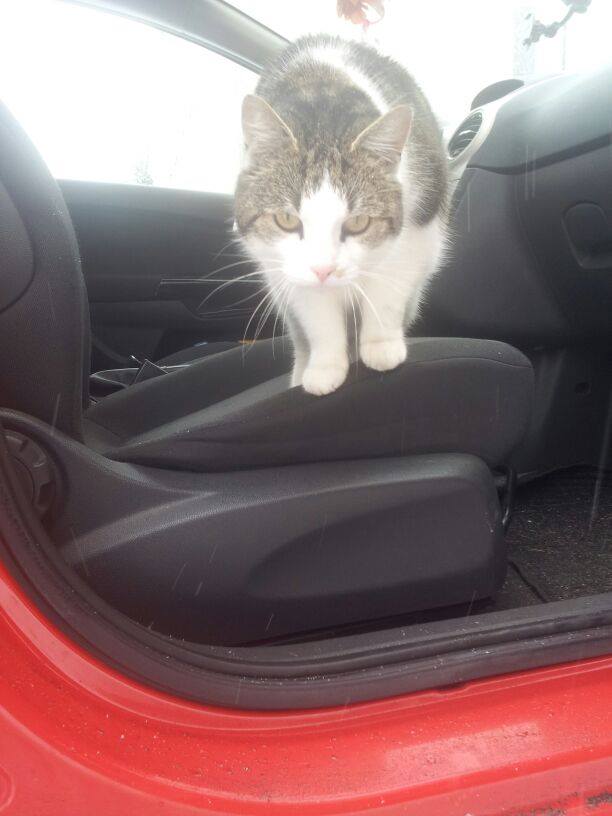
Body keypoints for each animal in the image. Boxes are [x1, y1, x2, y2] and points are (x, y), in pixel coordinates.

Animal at [234, 34, 449, 395]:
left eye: (358, 222)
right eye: (286, 220)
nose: (324, 270)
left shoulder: (417, 230)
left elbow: (388, 286)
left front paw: (380, 345)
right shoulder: (287, 268)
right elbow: (317, 315)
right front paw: (325, 367)